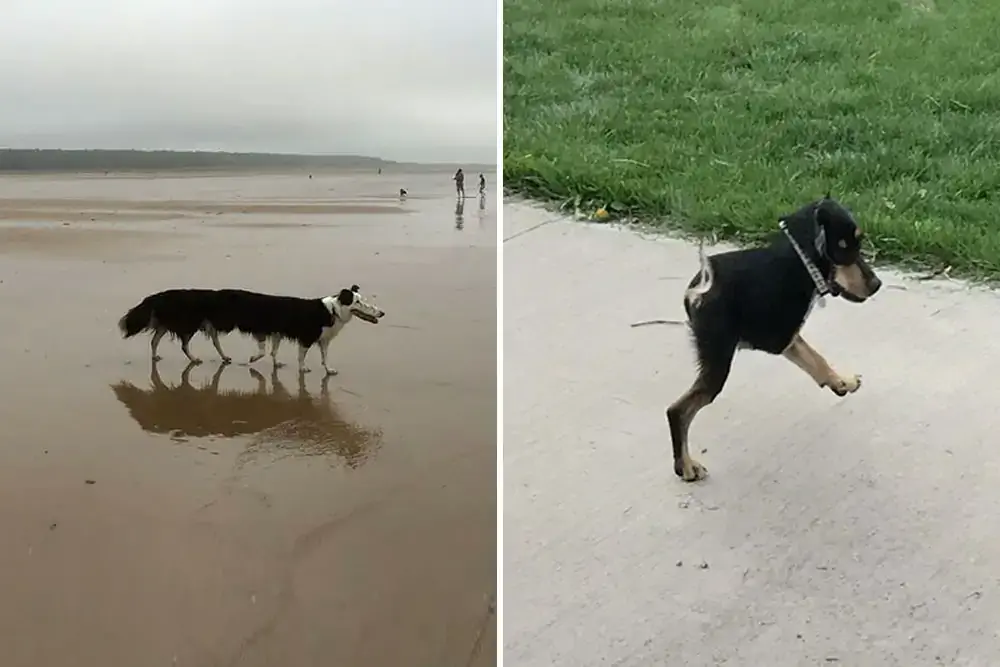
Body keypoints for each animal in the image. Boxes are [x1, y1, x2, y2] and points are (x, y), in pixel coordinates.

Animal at [115, 284, 384, 376]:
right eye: (358, 301)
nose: (381, 313)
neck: (333, 310)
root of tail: (163, 295)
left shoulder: (319, 339)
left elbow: (322, 357)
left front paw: (328, 370)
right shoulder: (299, 336)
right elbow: (289, 354)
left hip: (195, 324)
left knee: (157, 339)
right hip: (190, 325)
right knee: (182, 342)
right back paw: (195, 358)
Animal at [668, 196, 880, 482]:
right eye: (843, 247)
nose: (877, 284)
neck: (802, 261)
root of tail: (701, 285)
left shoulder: (786, 335)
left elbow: (816, 358)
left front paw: (842, 382)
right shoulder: (779, 337)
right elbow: (812, 356)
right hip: (717, 360)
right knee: (678, 410)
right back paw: (687, 466)